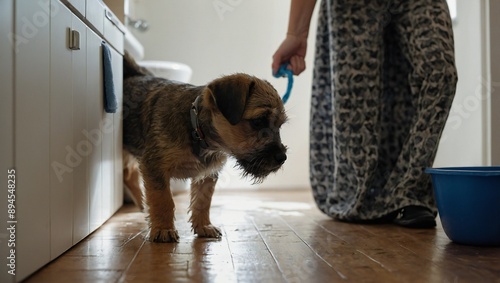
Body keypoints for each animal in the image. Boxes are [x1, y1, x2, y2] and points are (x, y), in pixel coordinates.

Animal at [122, 54, 288, 243]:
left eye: (280, 126)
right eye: (258, 121)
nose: (282, 157)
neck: (196, 131)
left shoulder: (208, 174)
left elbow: (202, 201)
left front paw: (203, 226)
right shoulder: (154, 166)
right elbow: (163, 199)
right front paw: (163, 229)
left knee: (129, 175)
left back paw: (143, 205)